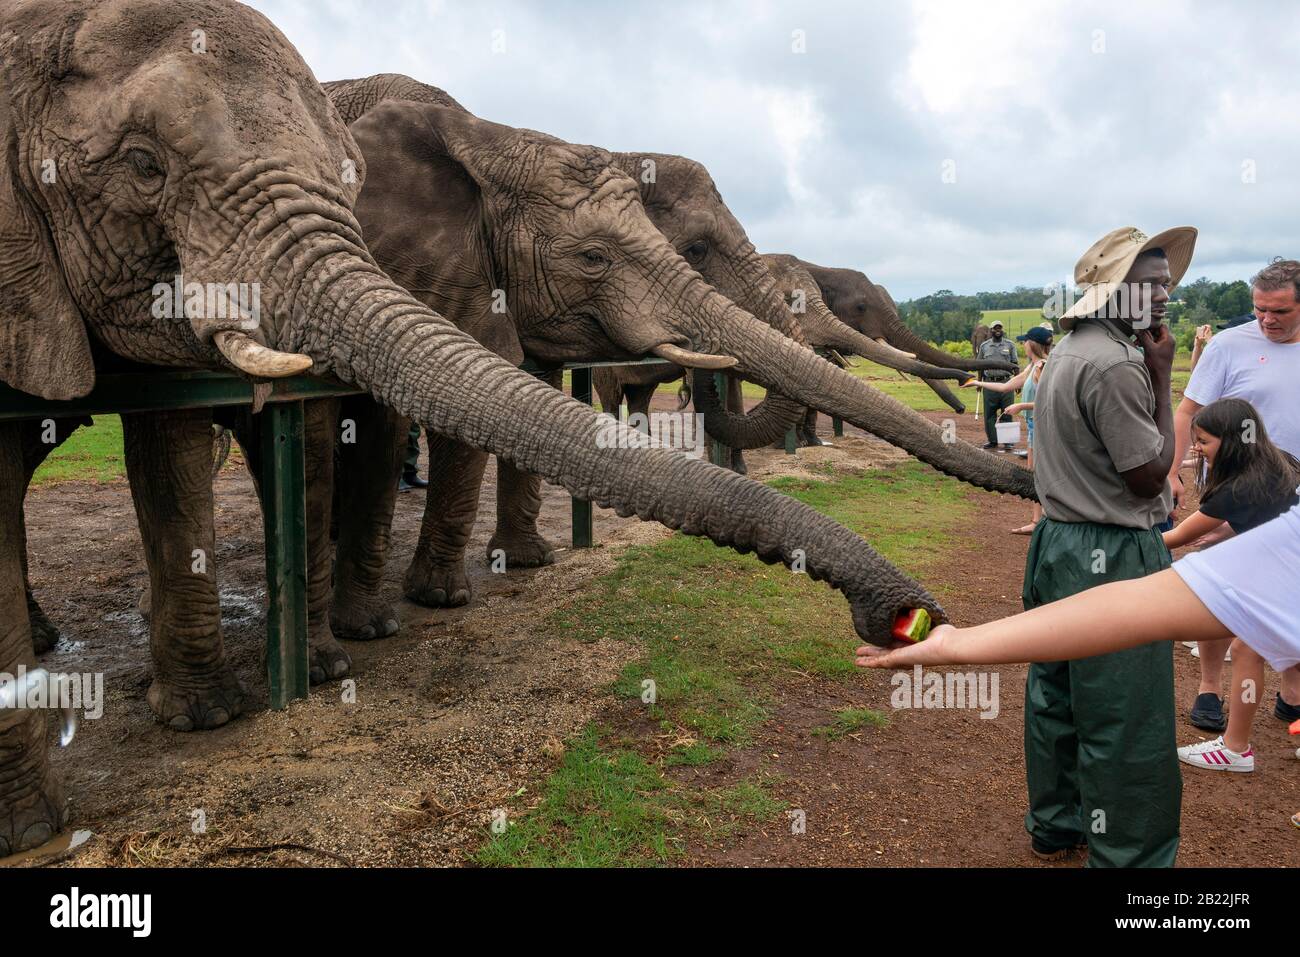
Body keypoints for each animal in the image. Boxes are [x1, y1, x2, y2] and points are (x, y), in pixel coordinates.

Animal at [314, 78, 1024, 613]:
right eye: (698, 248)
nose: (1024, 478)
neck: (490, 134)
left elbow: (519, 385)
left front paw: (524, 564)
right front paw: (438, 601)